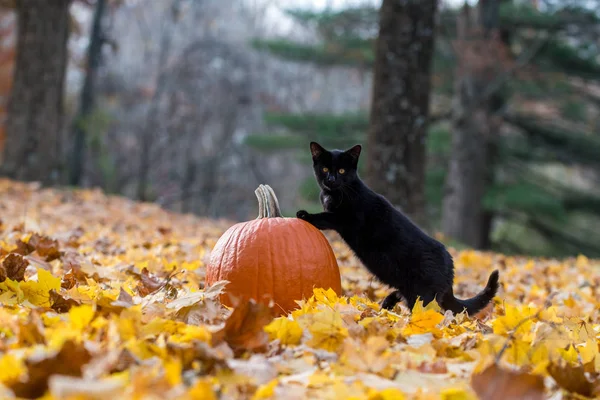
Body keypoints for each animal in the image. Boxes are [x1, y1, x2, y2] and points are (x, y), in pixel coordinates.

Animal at [294, 142, 496, 314]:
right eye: (325, 169)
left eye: (342, 170)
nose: (331, 179)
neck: (335, 193)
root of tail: (450, 269)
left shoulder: (348, 218)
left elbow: (326, 217)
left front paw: (305, 215)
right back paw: (387, 304)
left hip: (422, 293)